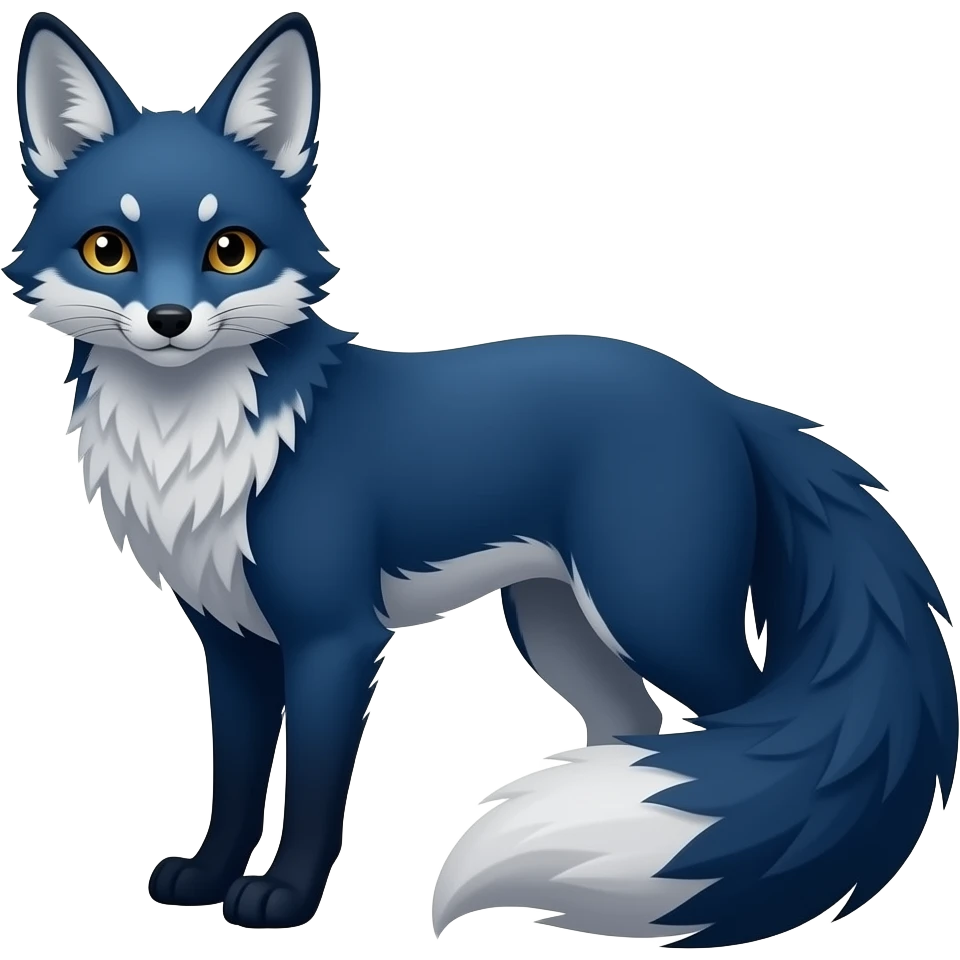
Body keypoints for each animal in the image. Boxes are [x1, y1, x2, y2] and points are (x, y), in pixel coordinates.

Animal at [6, 10, 957, 945]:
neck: (194, 444)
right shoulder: (230, 639)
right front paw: (207, 878)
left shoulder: (333, 637)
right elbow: (235, 780)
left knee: (743, 729)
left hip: (656, 612)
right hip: (556, 625)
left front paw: (283, 899)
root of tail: (720, 397)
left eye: (229, 250)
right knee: (639, 728)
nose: (169, 320)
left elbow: (310, 788)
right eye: (109, 249)